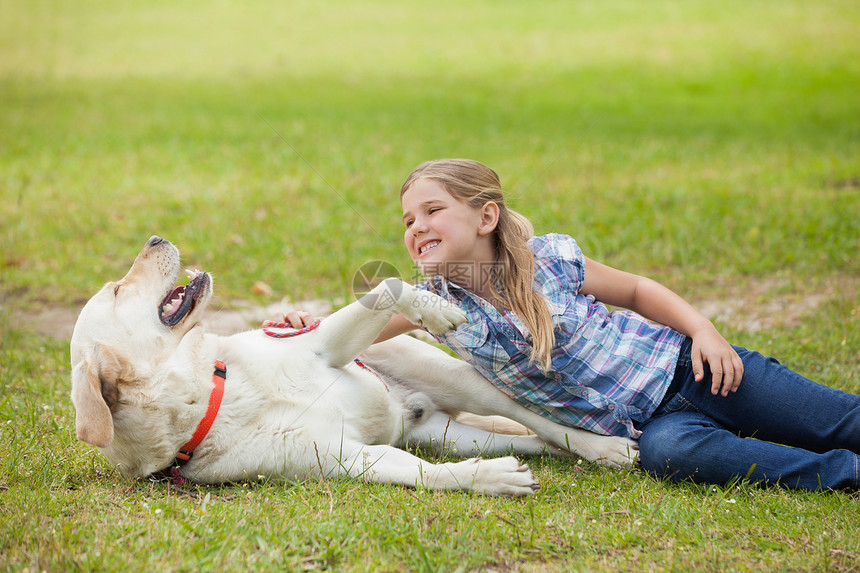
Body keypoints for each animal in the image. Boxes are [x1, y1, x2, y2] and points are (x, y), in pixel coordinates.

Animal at [72, 235, 640, 494]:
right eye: (117, 290)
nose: (155, 238)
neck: (216, 391)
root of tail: (415, 411)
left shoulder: (322, 346)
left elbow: (387, 286)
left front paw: (435, 308)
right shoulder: (345, 459)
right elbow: (426, 474)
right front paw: (491, 479)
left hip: (459, 380)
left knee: (533, 417)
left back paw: (603, 446)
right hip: (448, 435)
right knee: (527, 441)